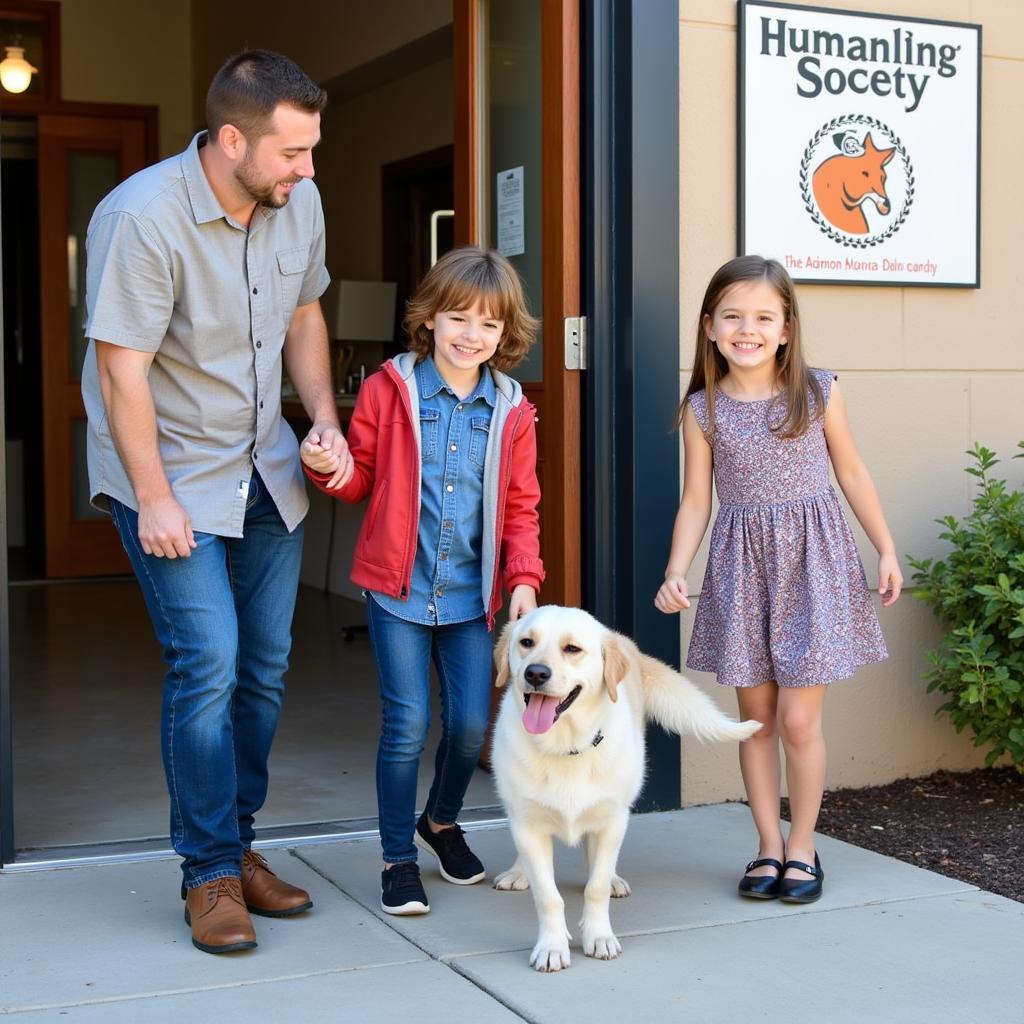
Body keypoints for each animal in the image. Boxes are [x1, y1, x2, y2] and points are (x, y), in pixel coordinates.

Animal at [487, 602, 761, 970]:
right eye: (526, 642)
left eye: (572, 649)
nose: (536, 673)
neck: (565, 746)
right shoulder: (528, 824)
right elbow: (548, 896)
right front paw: (551, 947)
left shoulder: (613, 820)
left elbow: (596, 886)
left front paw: (599, 935)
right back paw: (519, 872)